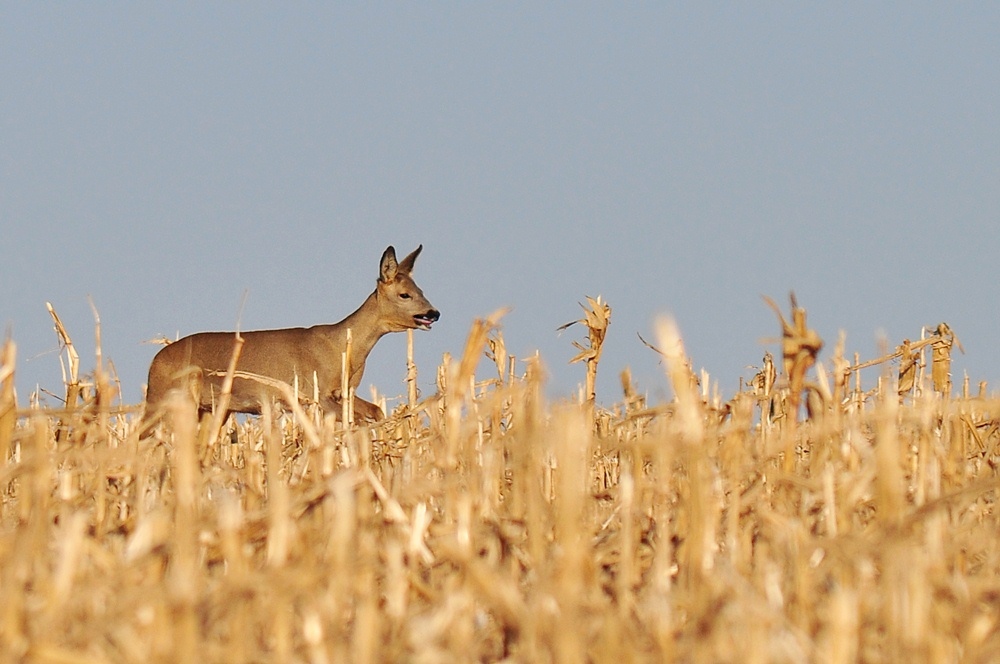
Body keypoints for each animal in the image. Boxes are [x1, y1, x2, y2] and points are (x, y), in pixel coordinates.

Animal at [143, 245, 439, 427]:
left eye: (421, 289)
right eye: (405, 294)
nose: (434, 313)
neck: (341, 348)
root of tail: (155, 362)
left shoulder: (343, 393)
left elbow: (375, 411)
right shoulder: (314, 393)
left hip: (211, 408)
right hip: (166, 400)